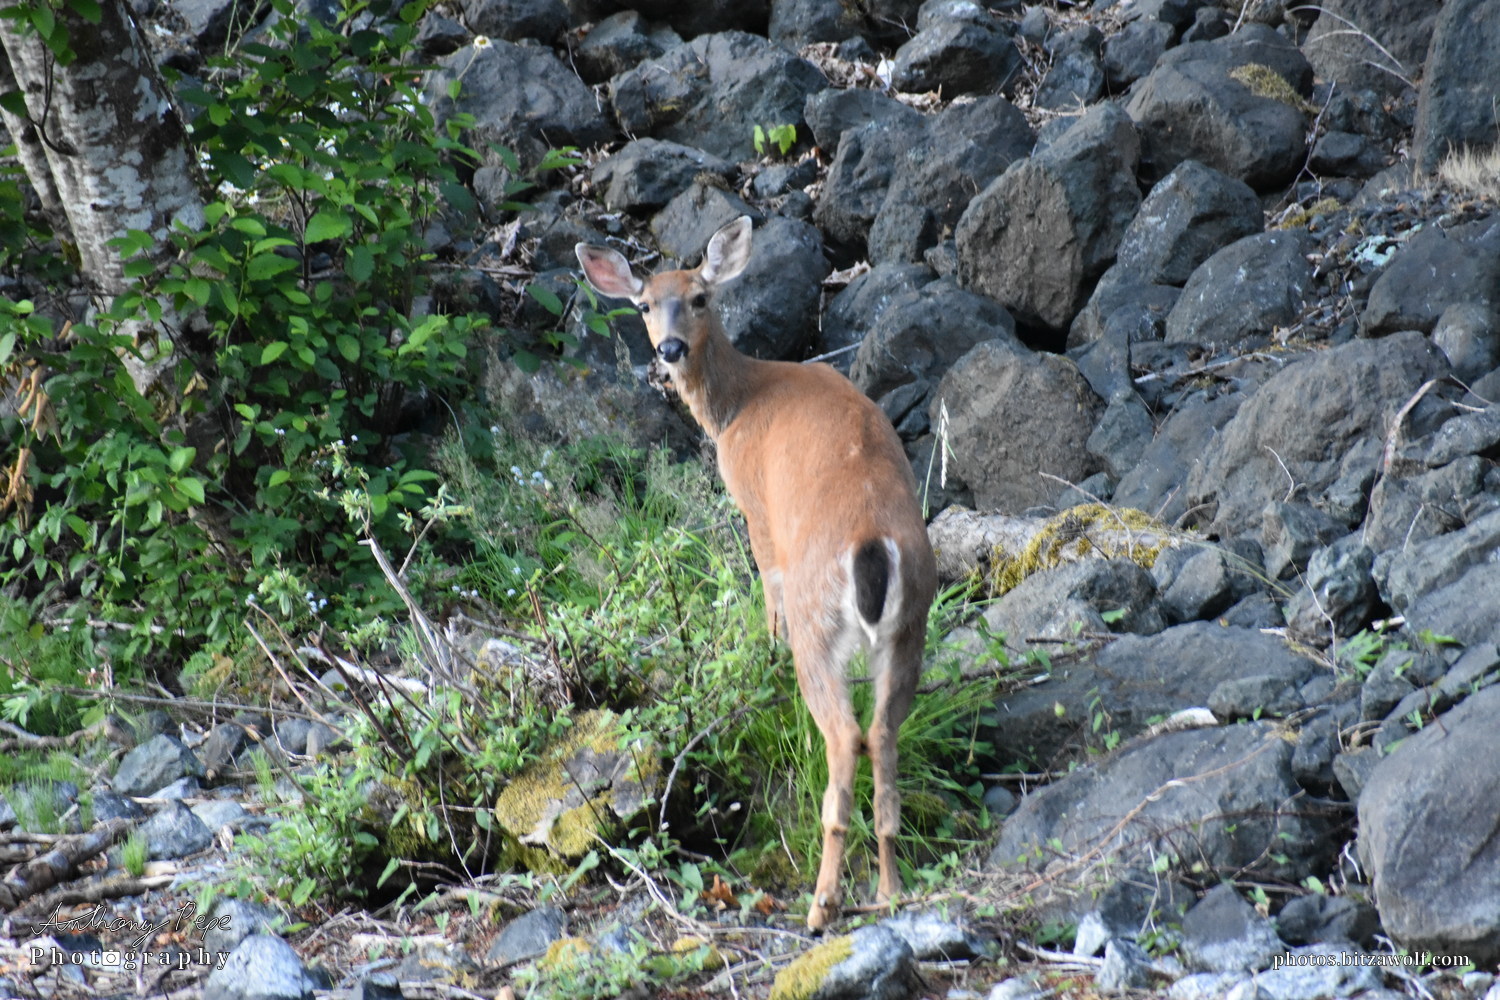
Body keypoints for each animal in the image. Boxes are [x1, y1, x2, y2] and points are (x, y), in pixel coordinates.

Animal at [575, 217, 937, 931]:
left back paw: (823, 903)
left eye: (700, 297)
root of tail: (873, 544)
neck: (738, 405)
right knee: (883, 733)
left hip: (819, 620)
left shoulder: (756, 507)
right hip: (910, 624)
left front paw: (761, 661)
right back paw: (888, 890)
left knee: (845, 736)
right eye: (643, 304)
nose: (670, 349)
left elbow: (763, 586)